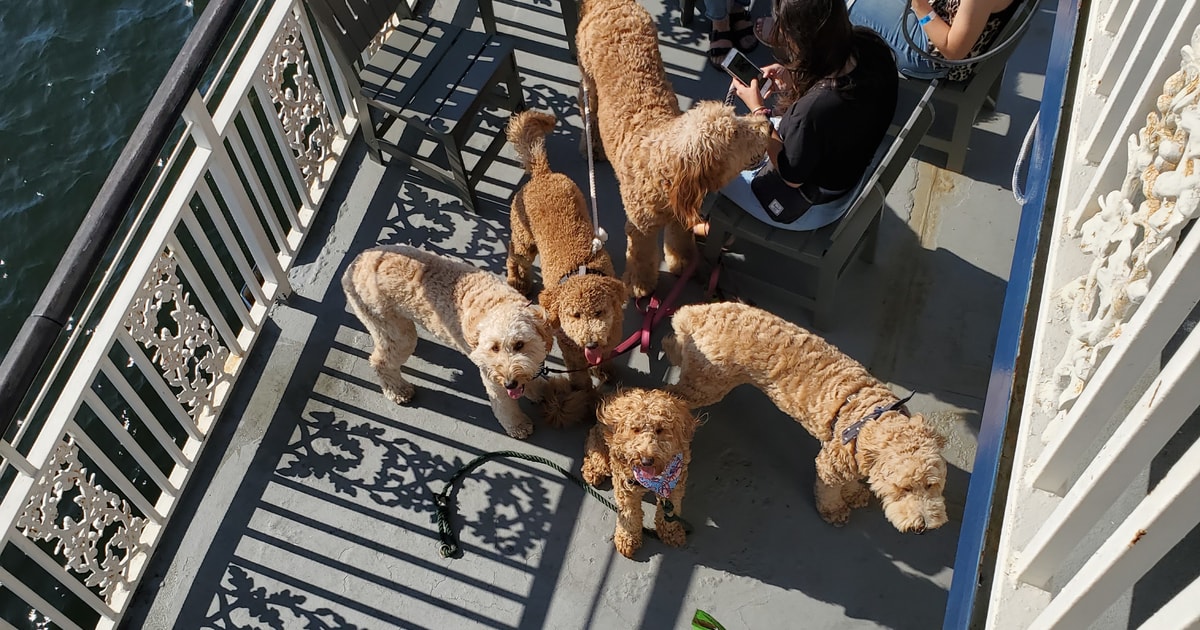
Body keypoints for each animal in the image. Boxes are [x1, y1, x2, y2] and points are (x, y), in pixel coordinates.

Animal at [345, 243, 554, 439]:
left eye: (519, 344)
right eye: (494, 348)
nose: (510, 383)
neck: (497, 305)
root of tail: (354, 264)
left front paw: (539, 390)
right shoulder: (490, 373)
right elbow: (504, 403)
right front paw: (518, 425)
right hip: (391, 326)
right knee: (380, 361)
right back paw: (398, 391)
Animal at [504, 108, 628, 398]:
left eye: (599, 313)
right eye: (575, 316)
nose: (591, 343)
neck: (581, 271)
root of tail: (542, 174)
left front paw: (604, 371)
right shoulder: (569, 349)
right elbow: (578, 374)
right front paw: (582, 394)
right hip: (524, 239)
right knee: (515, 257)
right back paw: (518, 281)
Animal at [576, 0, 772, 300]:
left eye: (736, 118)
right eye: (735, 134)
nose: (767, 124)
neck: (663, 167)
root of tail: (611, 3)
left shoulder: (681, 216)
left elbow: (680, 242)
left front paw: (684, 264)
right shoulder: (640, 228)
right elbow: (641, 256)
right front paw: (640, 284)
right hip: (589, 79)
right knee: (587, 107)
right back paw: (592, 145)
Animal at [578, 386, 696, 556]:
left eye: (660, 429)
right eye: (635, 429)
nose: (646, 461)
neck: (655, 481)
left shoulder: (675, 486)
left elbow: (670, 511)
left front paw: (672, 533)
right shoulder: (625, 487)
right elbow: (629, 514)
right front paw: (627, 539)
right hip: (602, 442)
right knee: (593, 446)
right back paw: (593, 470)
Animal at [662, 301, 950, 530]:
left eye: (931, 485)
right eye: (904, 488)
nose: (923, 527)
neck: (873, 416)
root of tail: (698, 313)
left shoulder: (855, 456)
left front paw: (855, 493)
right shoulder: (831, 465)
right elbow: (829, 491)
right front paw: (835, 510)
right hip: (706, 386)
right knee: (673, 392)